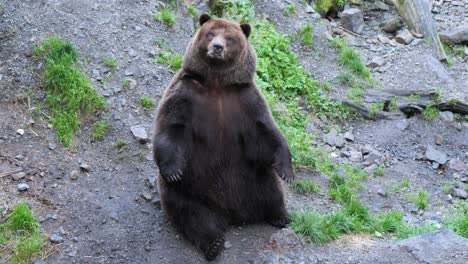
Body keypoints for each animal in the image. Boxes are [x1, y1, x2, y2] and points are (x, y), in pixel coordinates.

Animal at [152, 13, 294, 260]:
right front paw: (173, 169)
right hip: (193, 190)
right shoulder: (184, 94)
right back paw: (213, 244)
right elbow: (171, 127)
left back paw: (280, 216)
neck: (216, 83)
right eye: (210, 33)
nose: (217, 47)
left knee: (272, 191)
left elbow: (265, 132)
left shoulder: (245, 100)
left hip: (255, 178)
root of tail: (233, 213)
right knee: (192, 214)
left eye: (229, 37)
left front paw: (287, 170)